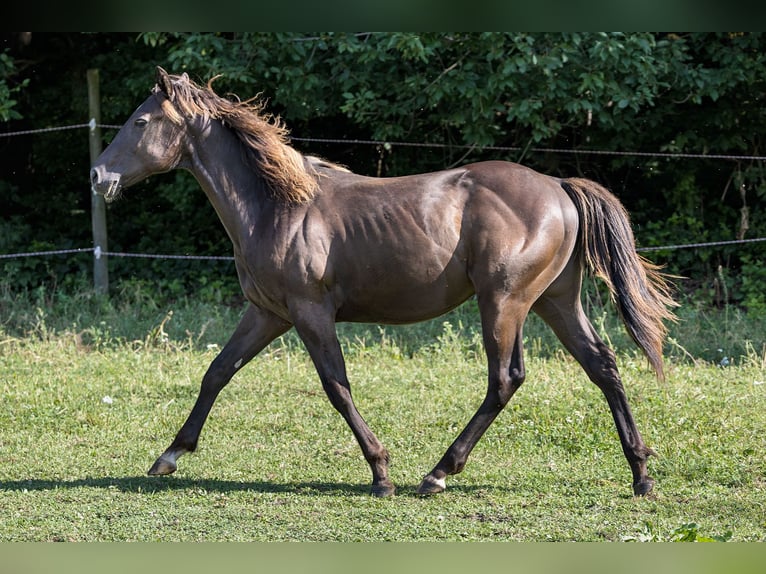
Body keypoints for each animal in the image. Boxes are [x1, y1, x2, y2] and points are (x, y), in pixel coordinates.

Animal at [91, 66, 680, 500]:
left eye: (141, 121)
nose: (98, 176)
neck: (277, 207)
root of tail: (559, 186)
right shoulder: (267, 312)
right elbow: (217, 372)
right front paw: (168, 456)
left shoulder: (309, 312)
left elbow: (336, 386)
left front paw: (380, 473)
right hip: (555, 300)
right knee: (603, 366)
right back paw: (641, 475)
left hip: (504, 301)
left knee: (506, 378)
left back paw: (438, 473)